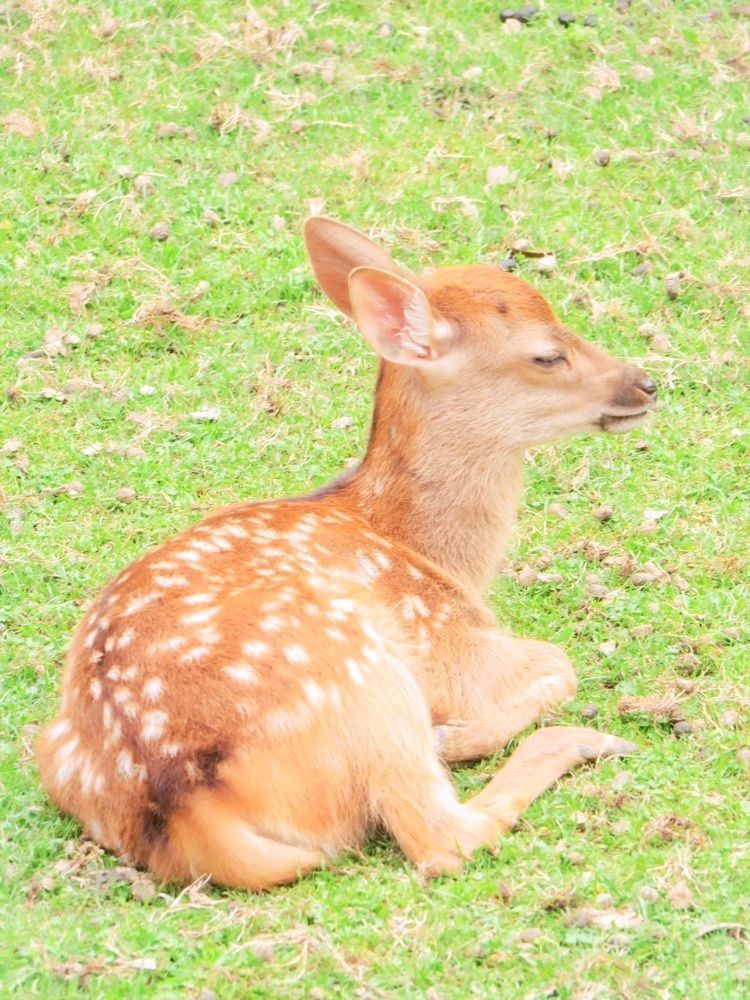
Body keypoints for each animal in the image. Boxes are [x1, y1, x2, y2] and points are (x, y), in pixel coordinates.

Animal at [36, 218, 657, 891]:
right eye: (546, 354)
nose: (645, 383)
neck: (428, 551)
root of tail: (187, 804)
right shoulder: (441, 638)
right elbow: (559, 662)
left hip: (54, 754)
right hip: (366, 679)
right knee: (438, 837)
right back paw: (569, 741)